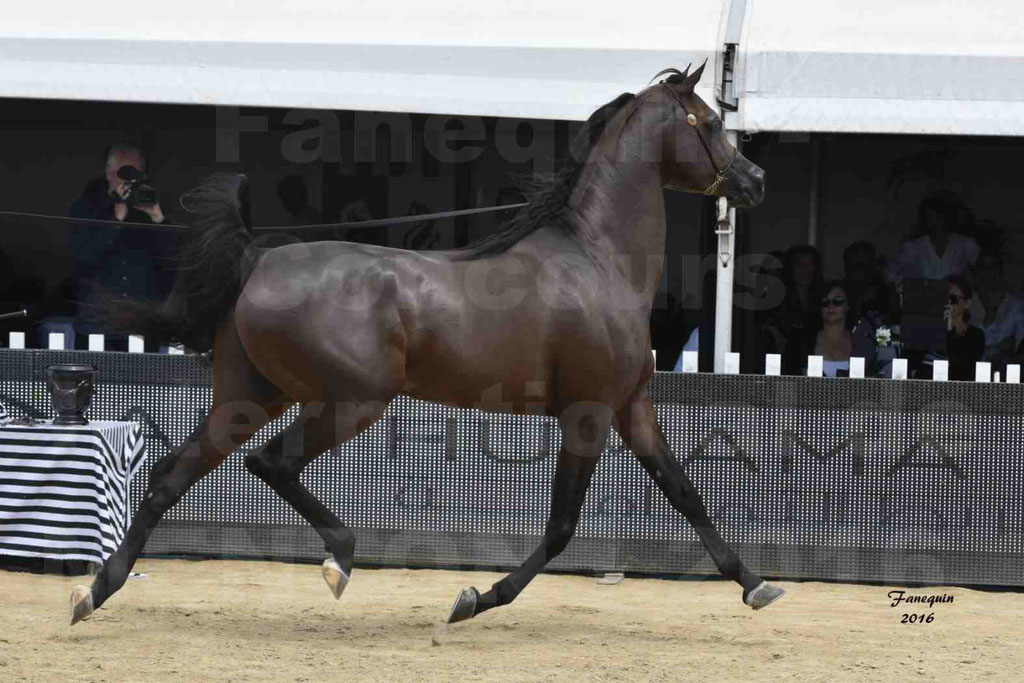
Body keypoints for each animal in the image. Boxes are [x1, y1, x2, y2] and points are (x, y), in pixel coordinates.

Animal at [70, 63, 782, 626]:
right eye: (707, 121)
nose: (755, 180)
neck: (598, 261)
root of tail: (257, 258)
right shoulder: (588, 413)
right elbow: (561, 527)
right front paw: (474, 599)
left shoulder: (632, 408)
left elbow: (687, 494)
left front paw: (756, 585)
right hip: (351, 402)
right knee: (270, 463)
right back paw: (340, 560)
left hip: (250, 398)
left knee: (170, 476)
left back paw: (93, 594)